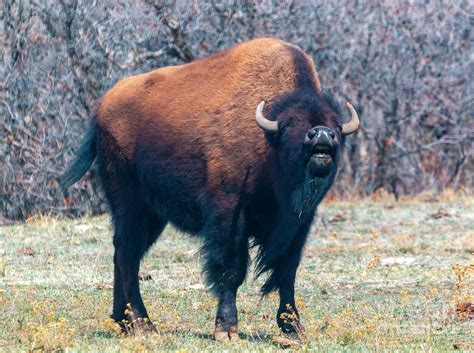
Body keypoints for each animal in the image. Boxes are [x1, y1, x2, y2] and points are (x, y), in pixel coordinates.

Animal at [62, 37, 360, 340]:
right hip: (130, 204)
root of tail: (102, 107)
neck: (268, 142)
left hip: (152, 215)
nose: (321, 135)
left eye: (336, 126)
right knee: (127, 255)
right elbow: (231, 270)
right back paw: (144, 324)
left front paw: (292, 328)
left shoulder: (298, 224)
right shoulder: (229, 214)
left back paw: (124, 322)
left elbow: (287, 271)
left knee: (124, 254)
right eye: (289, 125)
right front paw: (226, 329)